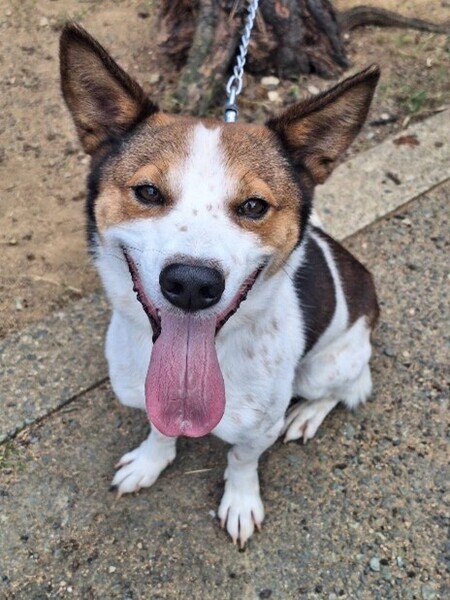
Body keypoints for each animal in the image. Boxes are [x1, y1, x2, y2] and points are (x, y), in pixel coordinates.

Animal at [60, 23, 380, 547]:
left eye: (253, 206)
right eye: (147, 192)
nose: (191, 285)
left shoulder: (259, 426)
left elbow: (242, 458)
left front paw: (241, 501)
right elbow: (159, 429)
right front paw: (151, 461)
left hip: (327, 365)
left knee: (346, 388)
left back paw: (308, 414)